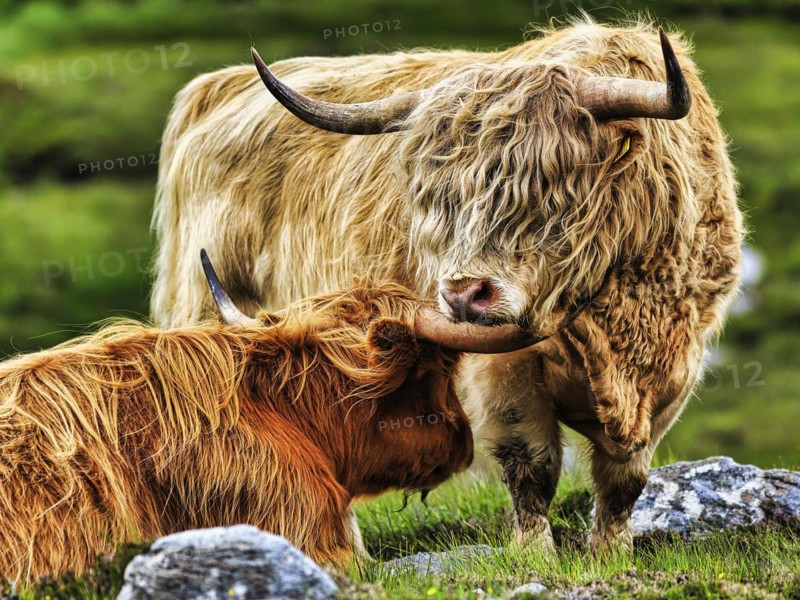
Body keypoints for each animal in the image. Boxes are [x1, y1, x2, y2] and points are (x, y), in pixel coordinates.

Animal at [150, 20, 744, 554]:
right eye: (434, 198)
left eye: (551, 187)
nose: (464, 294)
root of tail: (218, 87)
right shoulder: (504, 375)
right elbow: (531, 468)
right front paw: (537, 554)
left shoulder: (674, 371)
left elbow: (625, 481)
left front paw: (611, 551)